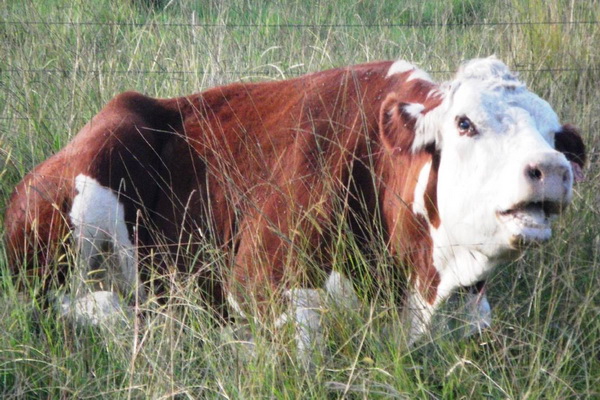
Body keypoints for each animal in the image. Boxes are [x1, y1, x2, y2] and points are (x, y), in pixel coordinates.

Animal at [3, 56, 584, 360]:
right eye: (464, 123)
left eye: (554, 133)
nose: (552, 169)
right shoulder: (259, 284)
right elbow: (304, 344)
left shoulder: (472, 311)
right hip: (65, 227)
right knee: (81, 304)